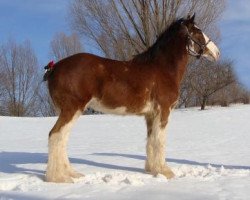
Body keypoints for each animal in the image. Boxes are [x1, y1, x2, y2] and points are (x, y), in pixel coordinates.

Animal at [44, 14, 219, 183]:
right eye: (197, 30)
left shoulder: (150, 115)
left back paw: (72, 174)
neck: (162, 69)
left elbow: (151, 141)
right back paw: (58, 178)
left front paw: (152, 170)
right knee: (56, 136)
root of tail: (55, 68)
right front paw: (165, 172)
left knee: (62, 139)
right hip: (72, 109)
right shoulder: (163, 111)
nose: (217, 52)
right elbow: (159, 141)